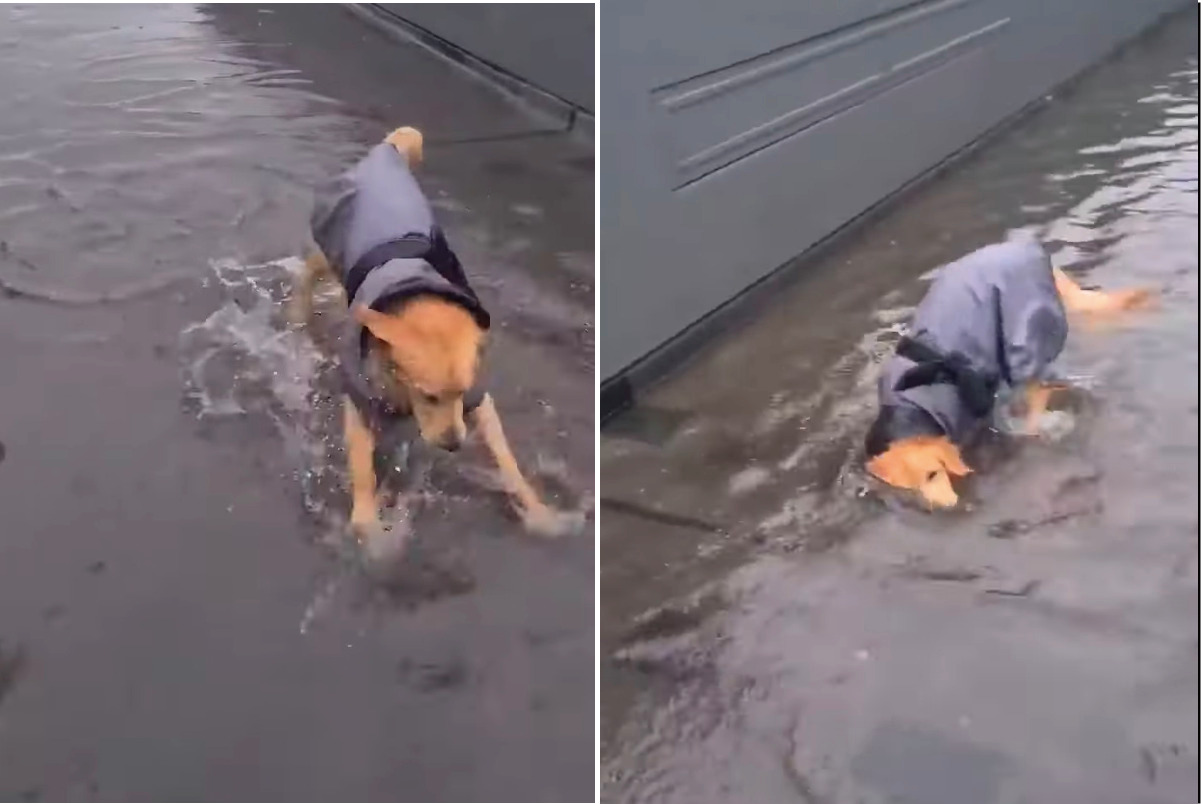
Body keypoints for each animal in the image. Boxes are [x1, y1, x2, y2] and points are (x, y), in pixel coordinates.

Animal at [288, 125, 574, 538]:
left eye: (462, 392)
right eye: (428, 395)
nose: (454, 444)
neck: (413, 289)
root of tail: (384, 152)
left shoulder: (479, 401)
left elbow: (507, 460)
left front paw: (537, 512)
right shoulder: (360, 405)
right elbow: (362, 470)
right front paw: (367, 525)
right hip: (331, 256)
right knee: (308, 272)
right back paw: (297, 311)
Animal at [864, 231, 1152, 507]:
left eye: (933, 474)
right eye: (910, 489)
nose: (946, 506)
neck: (908, 407)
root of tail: (1028, 248)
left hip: (1023, 344)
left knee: (1039, 383)